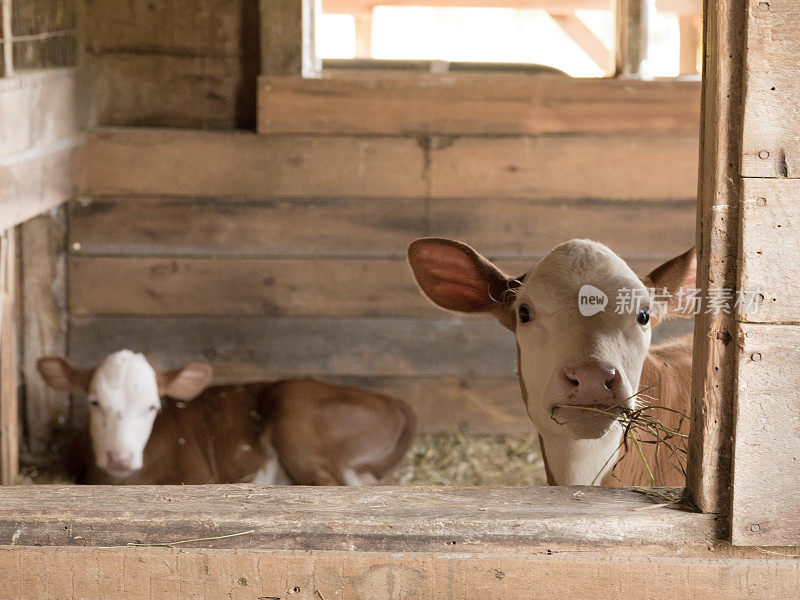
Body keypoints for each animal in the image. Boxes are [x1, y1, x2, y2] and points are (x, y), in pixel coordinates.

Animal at [36, 350, 416, 486]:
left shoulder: (197, 476)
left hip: (296, 422)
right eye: (94, 402)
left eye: (152, 407)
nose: (120, 456)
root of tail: (397, 403)